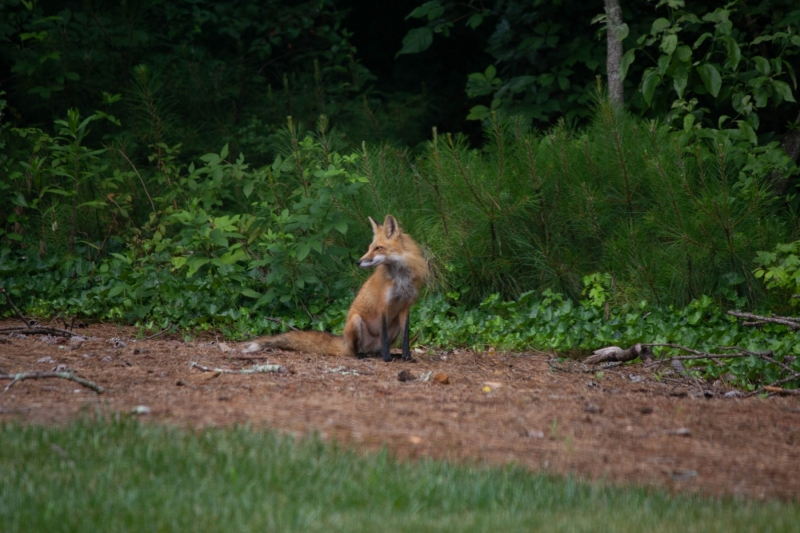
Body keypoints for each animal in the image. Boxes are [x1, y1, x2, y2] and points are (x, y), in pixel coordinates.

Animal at [244, 214, 428, 361]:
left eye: (378, 248)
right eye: (370, 248)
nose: (358, 262)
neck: (401, 278)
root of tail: (344, 341)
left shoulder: (405, 307)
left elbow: (405, 339)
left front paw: (407, 357)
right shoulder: (383, 305)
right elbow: (383, 337)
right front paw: (387, 358)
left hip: (394, 326)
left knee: (377, 349)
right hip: (355, 321)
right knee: (354, 351)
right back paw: (363, 355)